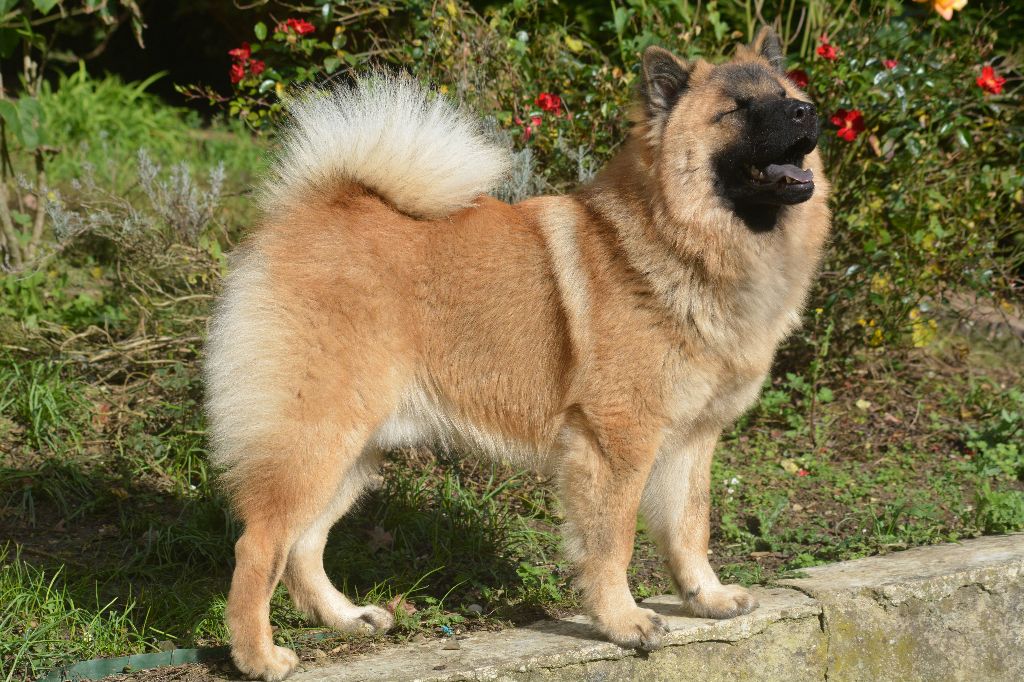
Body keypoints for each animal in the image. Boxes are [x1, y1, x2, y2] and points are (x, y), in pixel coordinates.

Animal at [204, 27, 830, 680]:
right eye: (738, 109)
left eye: (785, 95)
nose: (806, 112)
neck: (677, 242)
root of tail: (315, 208)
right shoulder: (616, 440)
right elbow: (614, 543)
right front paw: (624, 622)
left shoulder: (690, 440)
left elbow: (690, 528)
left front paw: (707, 598)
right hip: (317, 438)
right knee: (260, 544)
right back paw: (259, 655)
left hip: (356, 451)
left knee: (304, 545)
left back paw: (348, 619)